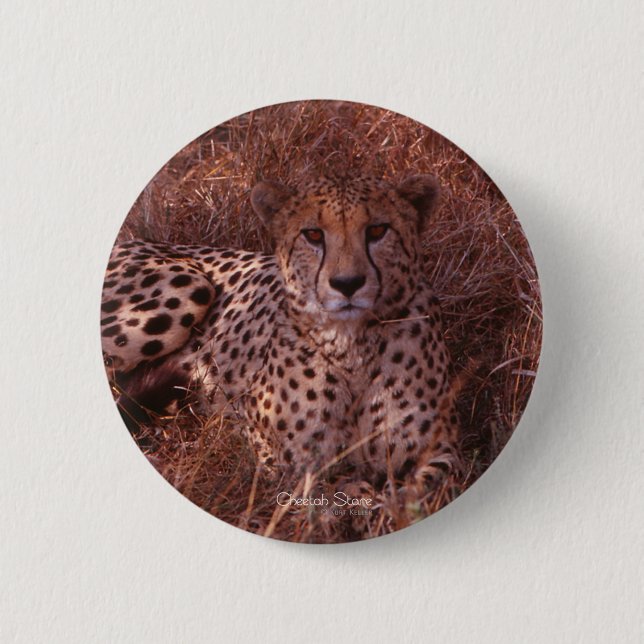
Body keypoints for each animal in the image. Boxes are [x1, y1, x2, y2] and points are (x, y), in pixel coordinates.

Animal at [101, 173, 461, 492]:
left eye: (377, 230)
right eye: (313, 235)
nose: (347, 284)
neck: (352, 345)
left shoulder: (444, 450)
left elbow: (425, 485)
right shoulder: (277, 454)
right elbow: (327, 489)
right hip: (188, 288)